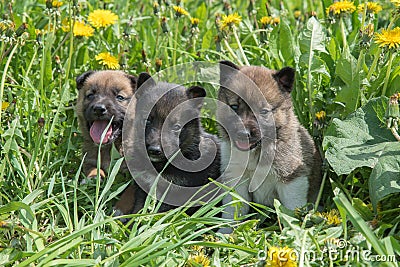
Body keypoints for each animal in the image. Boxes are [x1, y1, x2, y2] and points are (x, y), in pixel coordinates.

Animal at [76, 69, 138, 216]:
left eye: (120, 97)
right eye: (90, 95)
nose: (99, 108)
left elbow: (130, 190)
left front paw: (120, 209)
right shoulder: (89, 159)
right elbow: (93, 168)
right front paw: (92, 179)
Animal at [216, 61, 322, 232]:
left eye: (263, 112)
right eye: (234, 107)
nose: (243, 133)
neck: (257, 152)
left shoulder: (292, 179)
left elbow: (291, 208)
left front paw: (293, 230)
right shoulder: (236, 180)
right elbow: (233, 209)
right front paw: (226, 231)